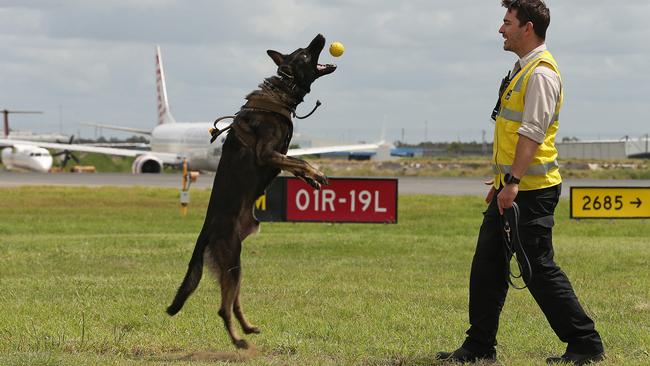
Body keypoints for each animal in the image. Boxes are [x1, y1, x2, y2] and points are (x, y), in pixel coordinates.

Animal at [165, 34, 336, 348]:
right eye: (306, 54)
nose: (320, 36)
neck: (281, 91)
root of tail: (205, 232)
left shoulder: (279, 155)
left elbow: (296, 164)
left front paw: (312, 180)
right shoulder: (267, 153)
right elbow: (302, 161)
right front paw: (317, 173)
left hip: (234, 267)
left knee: (232, 304)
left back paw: (248, 328)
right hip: (233, 261)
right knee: (223, 308)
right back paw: (238, 340)